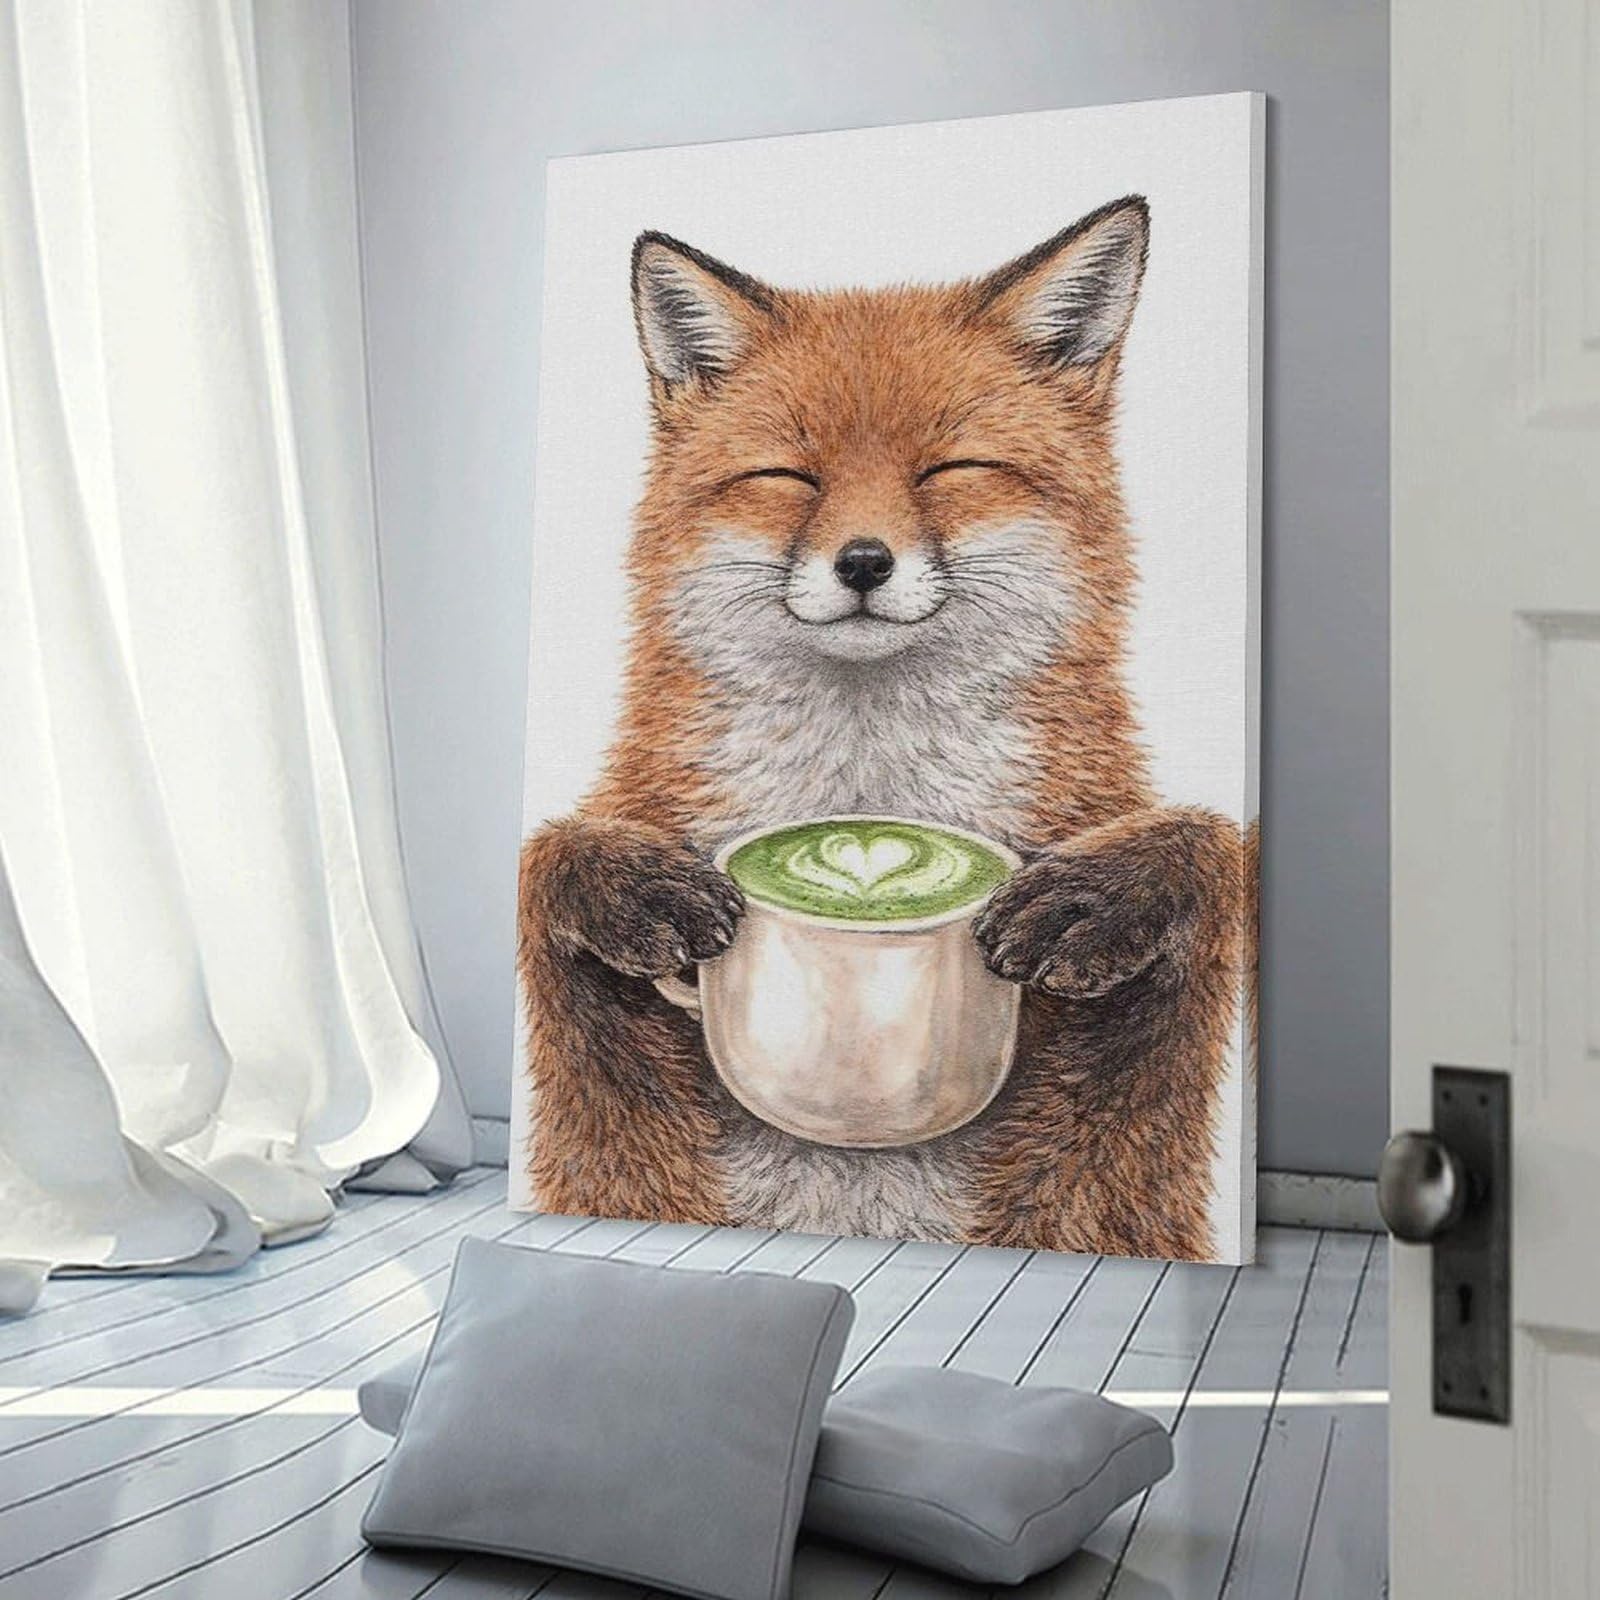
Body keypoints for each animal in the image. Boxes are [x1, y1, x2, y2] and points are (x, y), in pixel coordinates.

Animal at [518, 196, 1250, 1261]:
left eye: (951, 468)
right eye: (790, 476)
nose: (864, 562)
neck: (868, 792)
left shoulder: (1124, 1173)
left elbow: (1211, 844)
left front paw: (1099, 897)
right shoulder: (597, 1130)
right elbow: (545, 857)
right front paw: (627, 887)